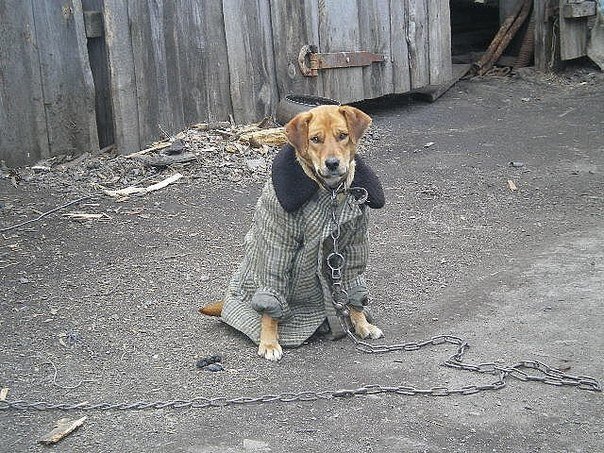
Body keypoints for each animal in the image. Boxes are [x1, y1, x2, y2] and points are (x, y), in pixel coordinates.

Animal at [201, 105, 384, 360]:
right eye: (315, 139)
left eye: (342, 135)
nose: (332, 163)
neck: (331, 194)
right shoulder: (279, 245)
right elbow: (272, 295)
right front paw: (269, 342)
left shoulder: (353, 246)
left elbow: (351, 286)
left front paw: (362, 324)